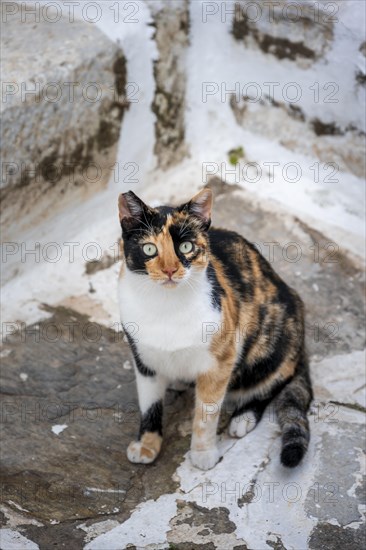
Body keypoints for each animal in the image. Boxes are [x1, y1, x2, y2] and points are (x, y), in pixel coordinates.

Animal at [117, 189, 312, 470]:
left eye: (186, 246)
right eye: (149, 248)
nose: (169, 270)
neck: (166, 306)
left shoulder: (220, 360)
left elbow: (205, 413)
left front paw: (203, 453)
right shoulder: (143, 358)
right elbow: (149, 404)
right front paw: (146, 445)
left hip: (272, 340)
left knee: (274, 381)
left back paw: (243, 418)